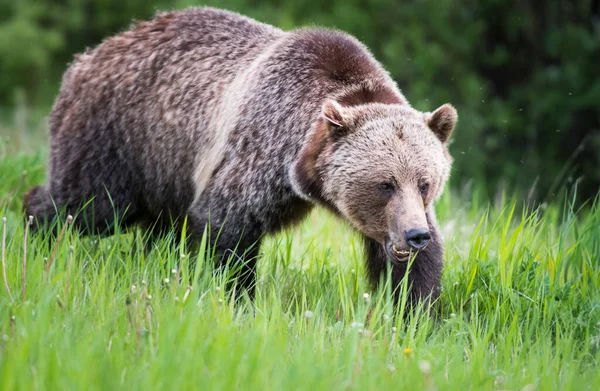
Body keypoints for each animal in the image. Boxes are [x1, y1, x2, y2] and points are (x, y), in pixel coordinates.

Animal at [22, 7, 454, 304]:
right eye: (384, 184)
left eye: (425, 183)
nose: (414, 235)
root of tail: (90, 55)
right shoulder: (257, 151)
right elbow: (227, 229)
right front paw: (235, 297)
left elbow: (414, 272)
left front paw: (413, 312)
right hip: (120, 136)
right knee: (89, 204)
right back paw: (35, 233)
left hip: (165, 170)